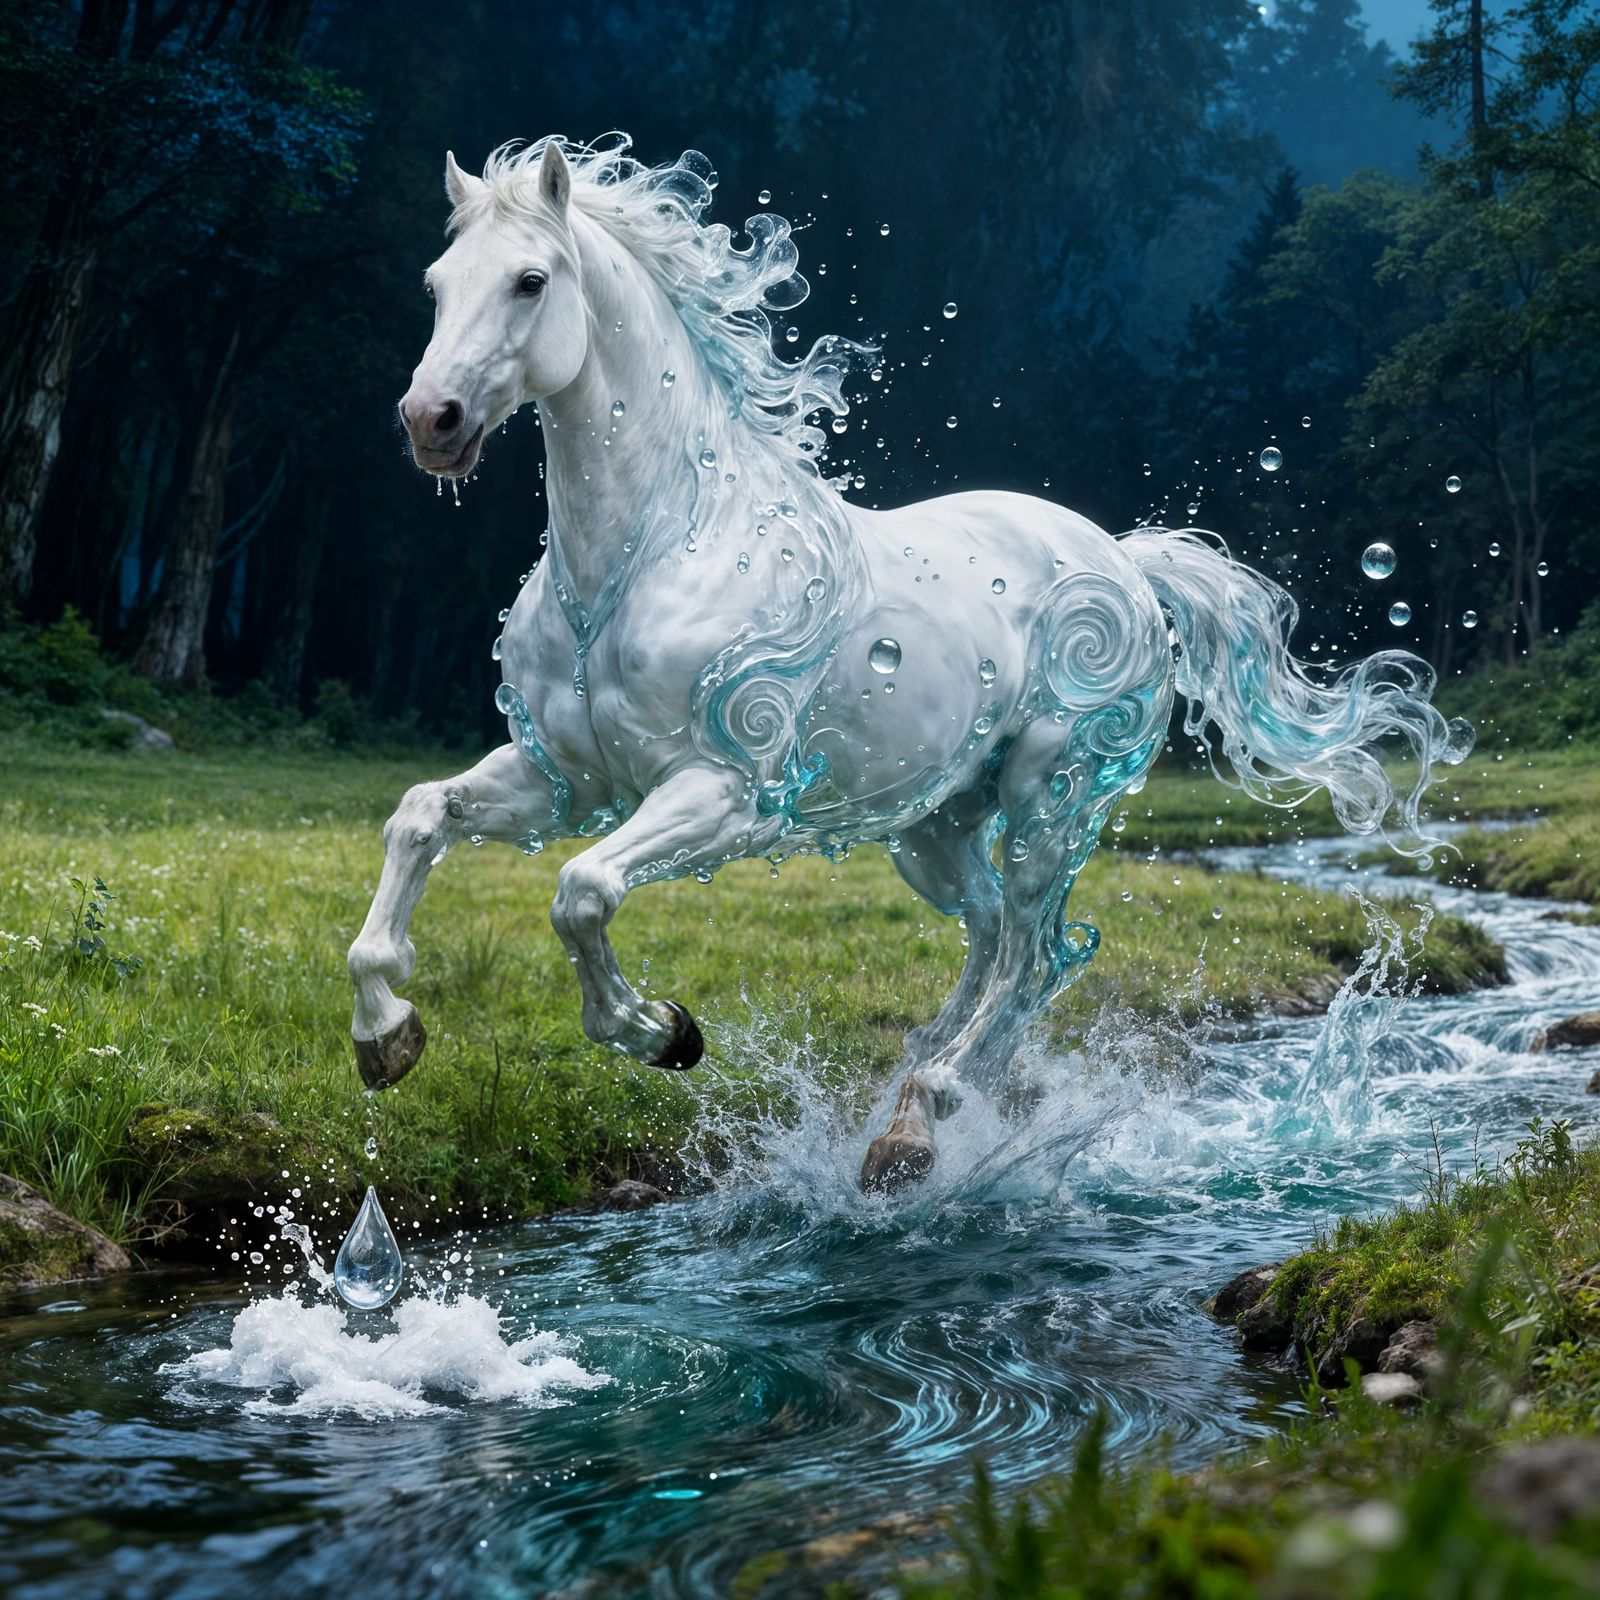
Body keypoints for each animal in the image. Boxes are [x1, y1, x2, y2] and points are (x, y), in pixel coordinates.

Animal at [346, 136, 1469, 1193]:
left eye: (531, 279)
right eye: (438, 283)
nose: (429, 422)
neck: (648, 551)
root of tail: (1126, 562)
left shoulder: (728, 791)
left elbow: (580, 891)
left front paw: (663, 1031)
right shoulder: (564, 781)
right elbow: (417, 816)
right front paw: (386, 1034)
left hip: (1053, 800)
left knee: (1032, 956)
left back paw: (924, 1114)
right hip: (932, 828)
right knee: (991, 937)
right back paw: (916, 1108)